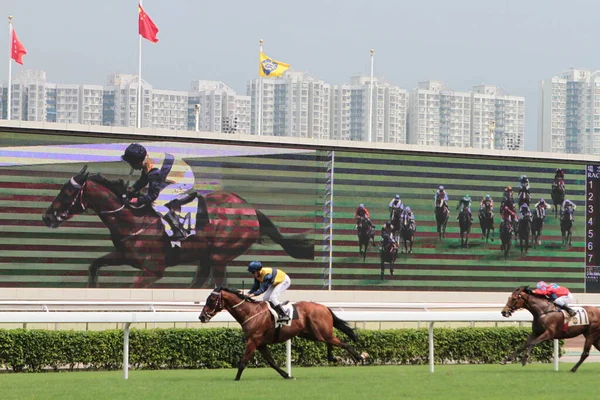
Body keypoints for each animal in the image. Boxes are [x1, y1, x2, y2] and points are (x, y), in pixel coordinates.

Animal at [42, 166, 314, 288]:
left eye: (67, 192)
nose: (47, 217)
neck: (133, 218)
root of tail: (250, 209)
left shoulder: (153, 270)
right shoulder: (123, 255)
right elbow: (94, 265)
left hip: (220, 255)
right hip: (207, 257)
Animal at [199, 286, 366, 380]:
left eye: (211, 300)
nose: (201, 317)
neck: (251, 312)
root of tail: (324, 307)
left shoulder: (253, 341)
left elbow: (242, 362)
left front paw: (236, 379)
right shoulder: (260, 344)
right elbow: (272, 362)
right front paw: (287, 375)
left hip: (320, 332)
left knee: (343, 343)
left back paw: (359, 357)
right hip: (313, 334)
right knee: (330, 341)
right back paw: (333, 357)